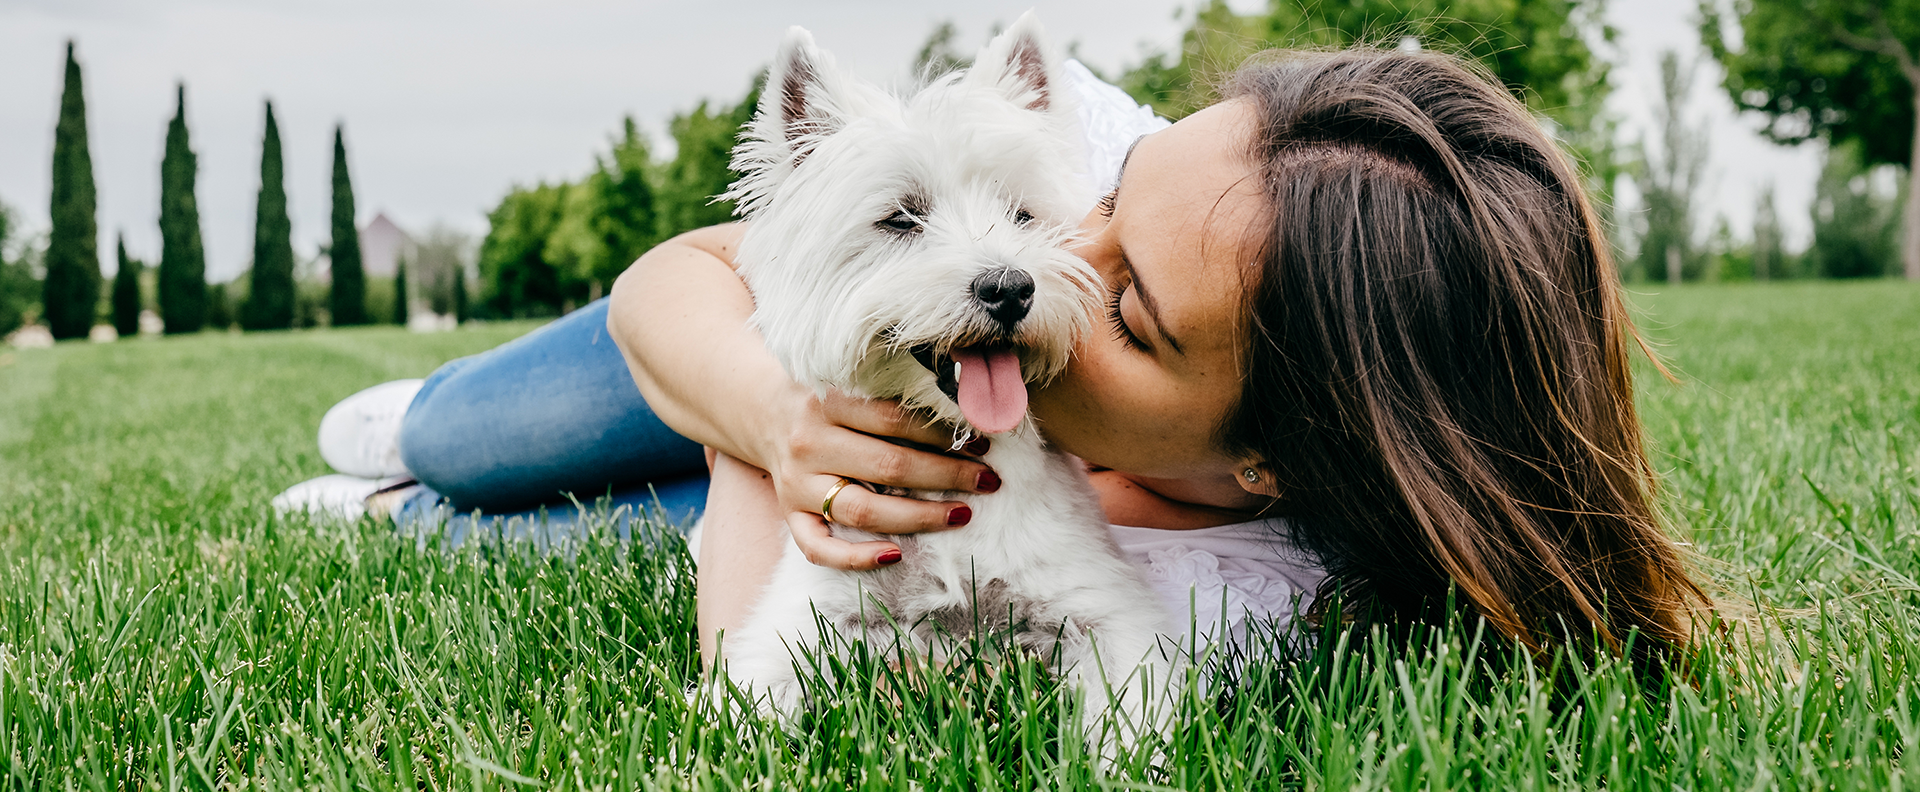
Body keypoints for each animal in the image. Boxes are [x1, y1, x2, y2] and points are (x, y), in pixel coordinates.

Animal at [718, 15, 1175, 751]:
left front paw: (1126, 761)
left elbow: (1133, 713)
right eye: (901, 218)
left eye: (1022, 213)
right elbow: (740, 709)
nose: (1010, 287)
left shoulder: (1103, 608)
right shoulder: (807, 616)